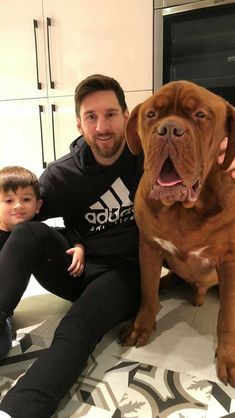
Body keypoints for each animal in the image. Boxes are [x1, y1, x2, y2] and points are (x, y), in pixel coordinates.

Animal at [121, 80, 235, 386]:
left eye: (200, 115)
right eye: (151, 115)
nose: (169, 129)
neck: (183, 209)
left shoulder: (230, 261)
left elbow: (227, 317)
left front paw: (228, 358)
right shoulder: (148, 246)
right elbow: (147, 290)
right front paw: (140, 326)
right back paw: (168, 282)